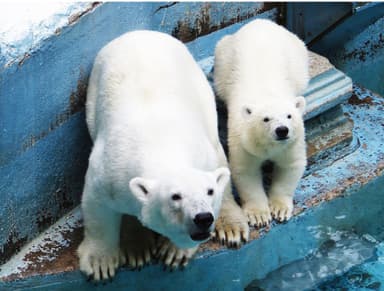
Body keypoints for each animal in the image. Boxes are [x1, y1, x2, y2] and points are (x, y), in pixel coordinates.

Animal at [76, 30, 230, 282]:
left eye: (210, 191)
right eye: (175, 196)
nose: (203, 218)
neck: (162, 147)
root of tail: (142, 32)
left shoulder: (205, 158)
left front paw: (174, 252)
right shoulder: (109, 170)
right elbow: (96, 205)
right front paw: (100, 263)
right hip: (93, 94)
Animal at [213, 18, 308, 233]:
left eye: (289, 116)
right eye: (266, 119)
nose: (282, 130)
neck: (266, 95)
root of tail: (260, 21)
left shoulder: (292, 142)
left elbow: (290, 166)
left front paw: (279, 209)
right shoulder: (243, 140)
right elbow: (246, 171)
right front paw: (259, 216)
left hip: (298, 54)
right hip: (224, 58)